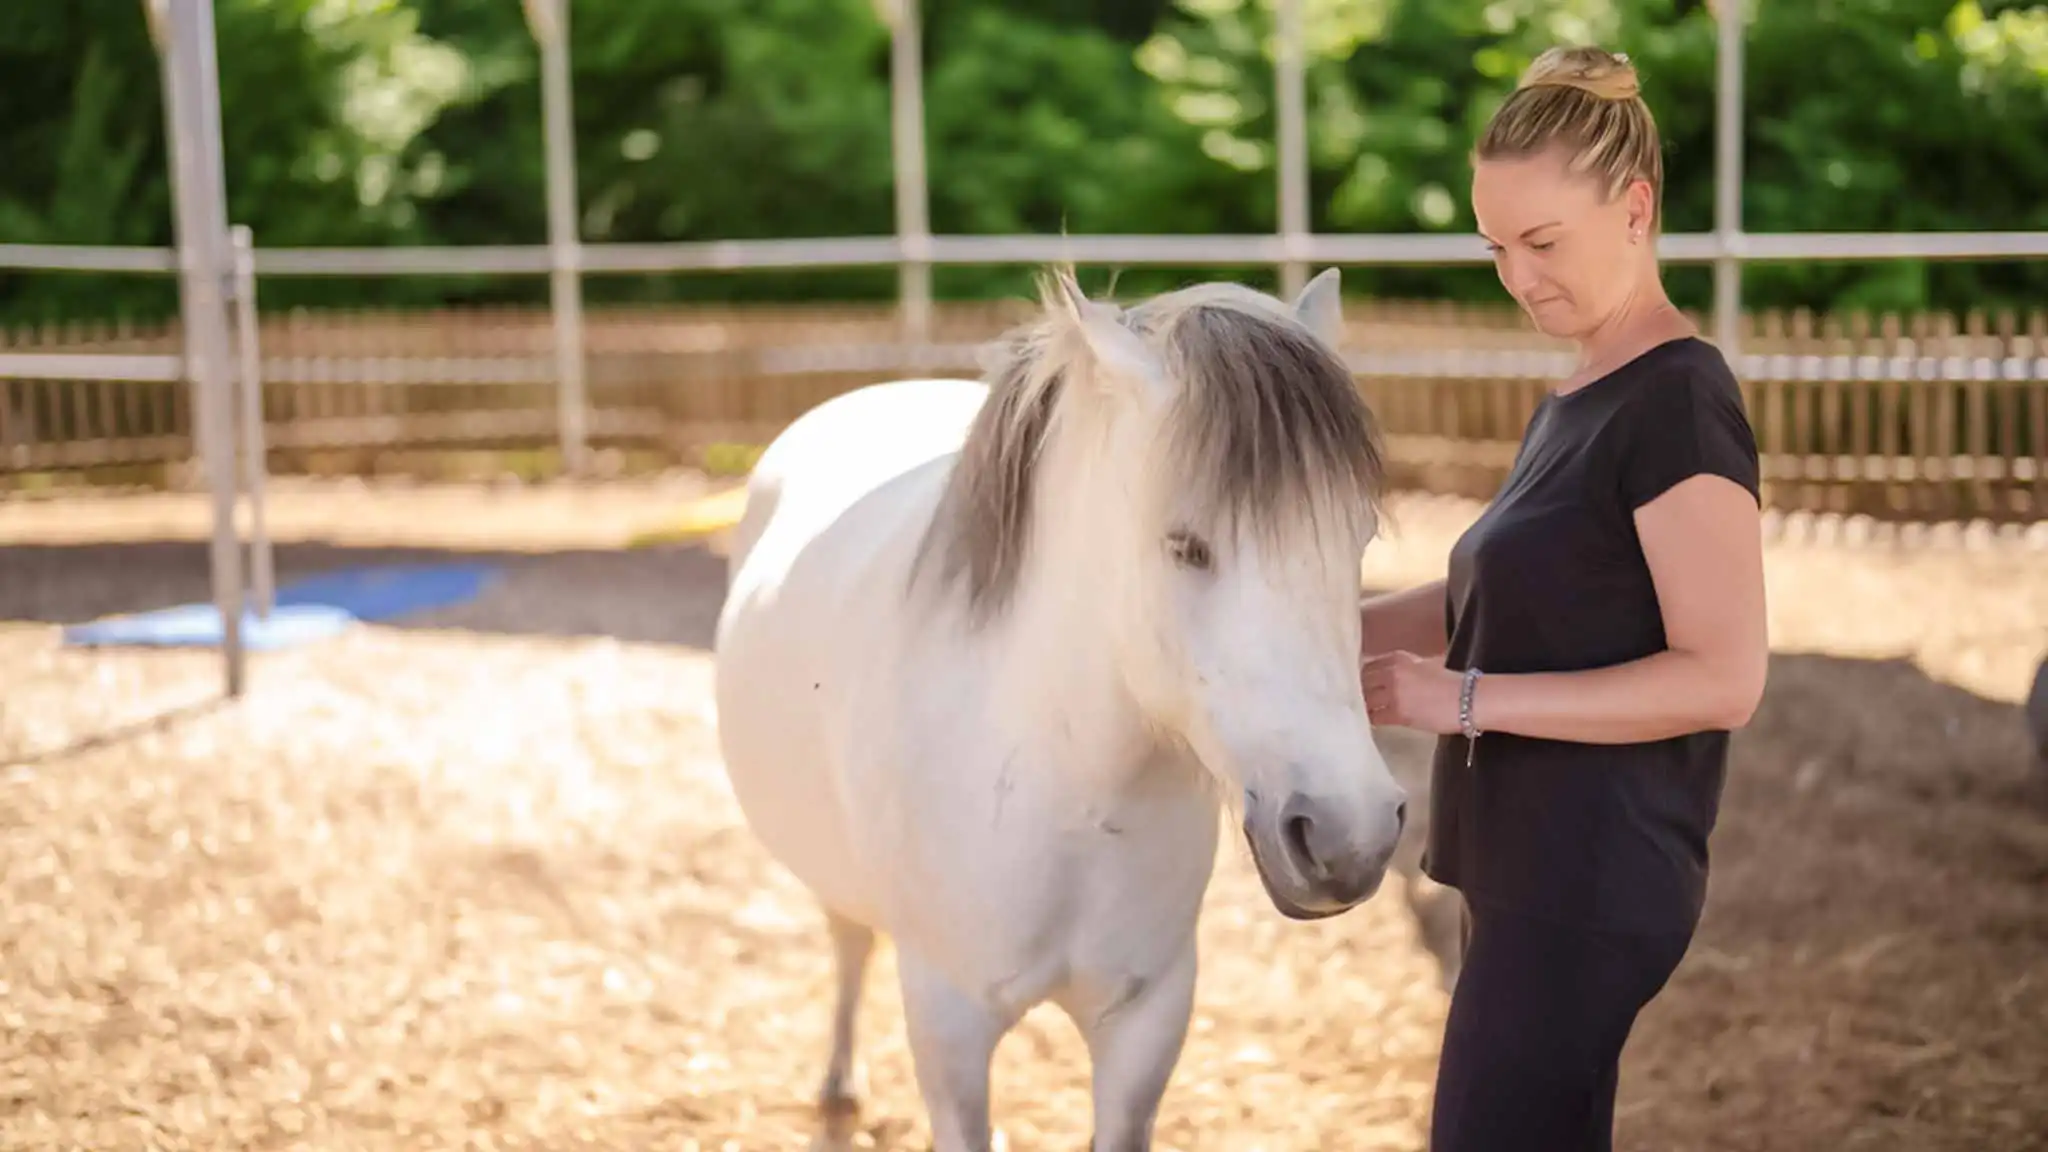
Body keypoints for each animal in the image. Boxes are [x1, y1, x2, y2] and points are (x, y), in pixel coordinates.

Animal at [710, 265, 1410, 1151]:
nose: (1350, 835)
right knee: (848, 937)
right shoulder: (949, 1026)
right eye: (1186, 546)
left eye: (1358, 537)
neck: (1064, 786)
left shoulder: (1146, 1021)